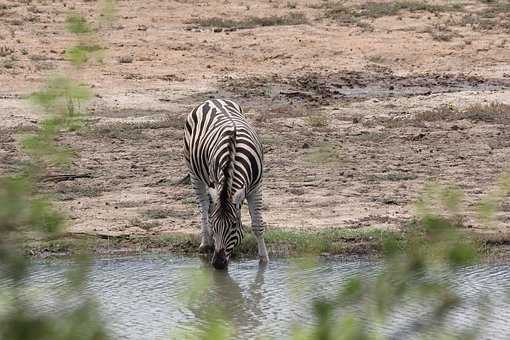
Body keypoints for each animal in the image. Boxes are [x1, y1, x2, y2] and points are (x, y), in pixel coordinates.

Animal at [184, 97, 270, 268]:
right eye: (215, 225)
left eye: (234, 225)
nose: (218, 263)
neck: (234, 154)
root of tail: (212, 100)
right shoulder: (216, 182)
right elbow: (209, 214)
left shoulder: (257, 187)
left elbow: (257, 225)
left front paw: (264, 260)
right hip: (193, 171)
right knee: (204, 207)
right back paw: (205, 243)